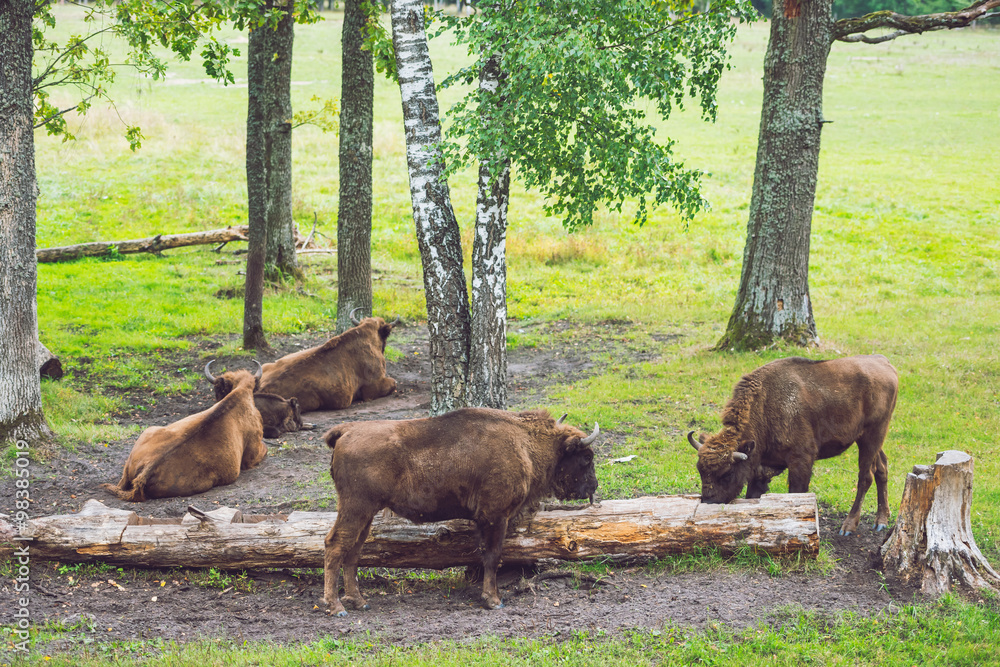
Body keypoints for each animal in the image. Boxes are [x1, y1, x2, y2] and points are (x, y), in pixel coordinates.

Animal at [321, 408, 600, 616]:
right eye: (586, 457)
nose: (594, 486)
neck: (525, 444)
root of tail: (347, 430)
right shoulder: (495, 516)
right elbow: (492, 556)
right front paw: (493, 600)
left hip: (365, 513)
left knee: (353, 551)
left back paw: (359, 601)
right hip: (356, 507)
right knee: (335, 544)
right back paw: (336, 607)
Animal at [688, 354, 898, 536]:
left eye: (727, 473)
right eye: (700, 471)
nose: (708, 501)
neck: (765, 405)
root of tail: (884, 362)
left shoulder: (801, 459)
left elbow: (796, 493)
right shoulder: (762, 468)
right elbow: (753, 495)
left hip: (872, 435)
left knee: (866, 476)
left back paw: (848, 527)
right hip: (871, 440)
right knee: (882, 467)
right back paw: (881, 522)